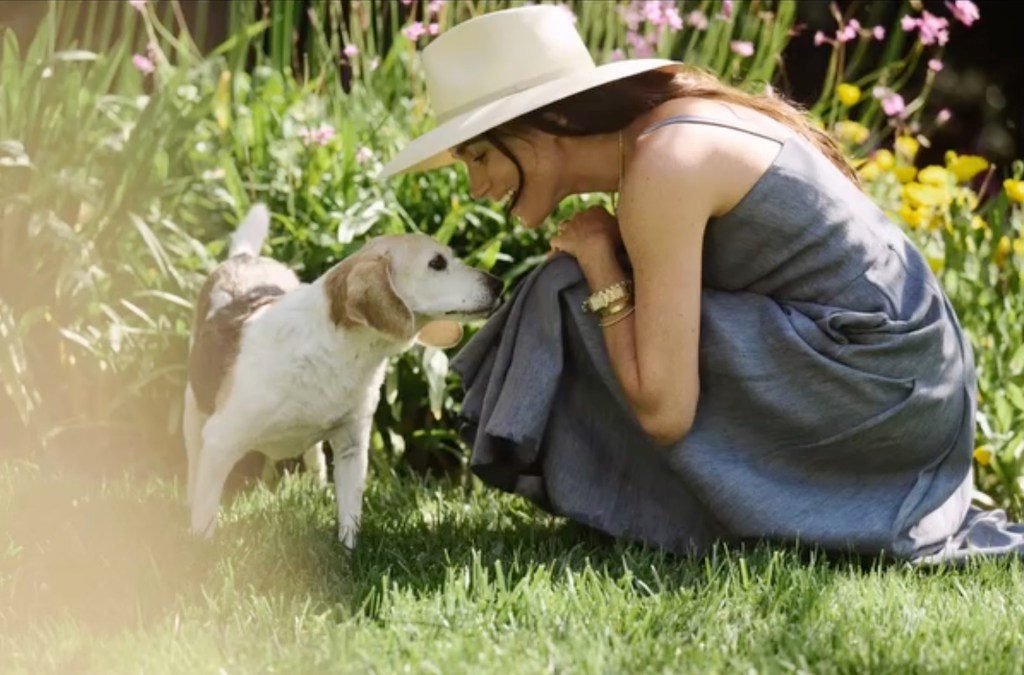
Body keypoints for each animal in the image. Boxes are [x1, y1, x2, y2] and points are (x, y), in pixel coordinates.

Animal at [186, 203, 505, 544]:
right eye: (437, 263)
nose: (499, 283)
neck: (337, 352)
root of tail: (244, 258)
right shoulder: (221, 440)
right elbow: (205, 513)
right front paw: (200, 548)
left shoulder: (352, 444)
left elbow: (350, 513)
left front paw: (348, 548)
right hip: (194, 414)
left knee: (315, 461)